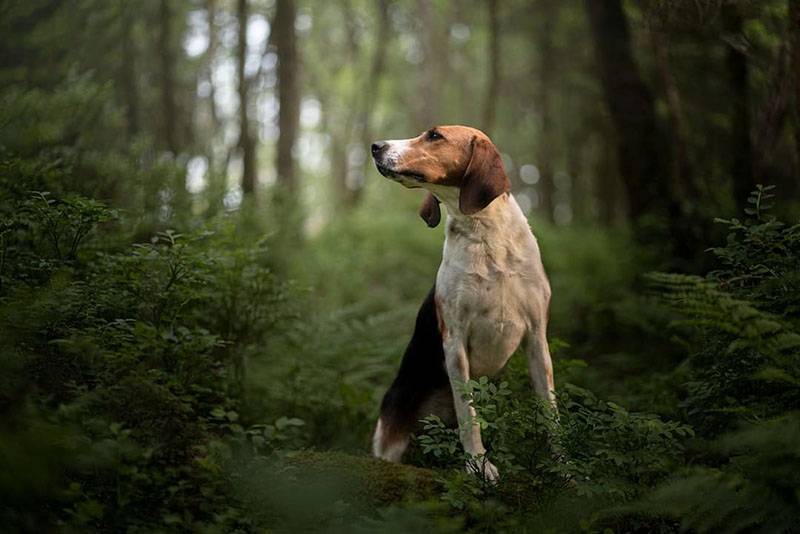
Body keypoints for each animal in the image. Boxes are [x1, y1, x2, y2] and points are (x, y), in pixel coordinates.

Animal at [370, 124, 552, 482]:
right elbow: (468, 412)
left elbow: (552, 414)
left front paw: (564, 468)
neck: (486, 236)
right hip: (389, 435)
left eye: (434, 136)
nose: (375, 146)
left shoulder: (537, 338)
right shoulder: (454, 341)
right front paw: (479, 464)